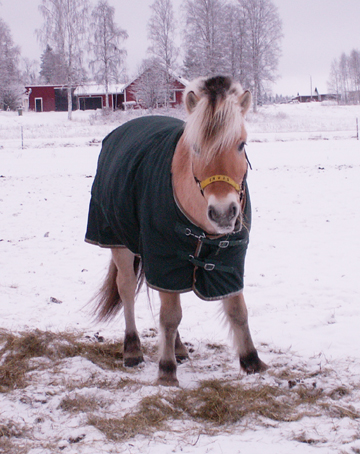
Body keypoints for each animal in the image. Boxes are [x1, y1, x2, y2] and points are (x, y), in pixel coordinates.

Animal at [86, 75, 268, 386]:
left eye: (241, 144)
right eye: (195, 148)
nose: (223, 212)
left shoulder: (227, 260)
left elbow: (237, 311)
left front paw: (252, 361)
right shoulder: (164, 256)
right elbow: (170, 315)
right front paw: (166, 371)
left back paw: (179, 347)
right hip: (120, 244)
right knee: (126, 289)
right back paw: (132, 349)